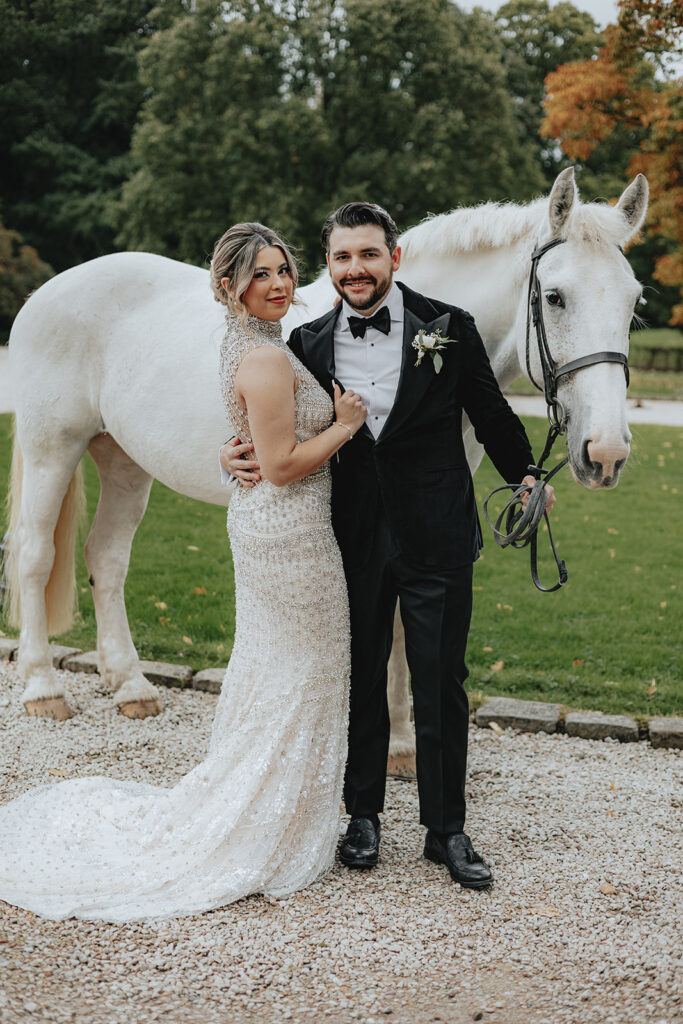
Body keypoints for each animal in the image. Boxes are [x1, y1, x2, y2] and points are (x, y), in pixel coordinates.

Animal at [2, 165, 651, 761]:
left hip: (125, 461)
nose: (606, 452)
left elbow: (400, 622)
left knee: (106, 559)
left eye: (634, 300)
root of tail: (47, 293)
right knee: (35, 555)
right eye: (554, 296)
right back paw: (42, 687)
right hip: (52, 447)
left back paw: (130, 685)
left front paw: (399, 744)